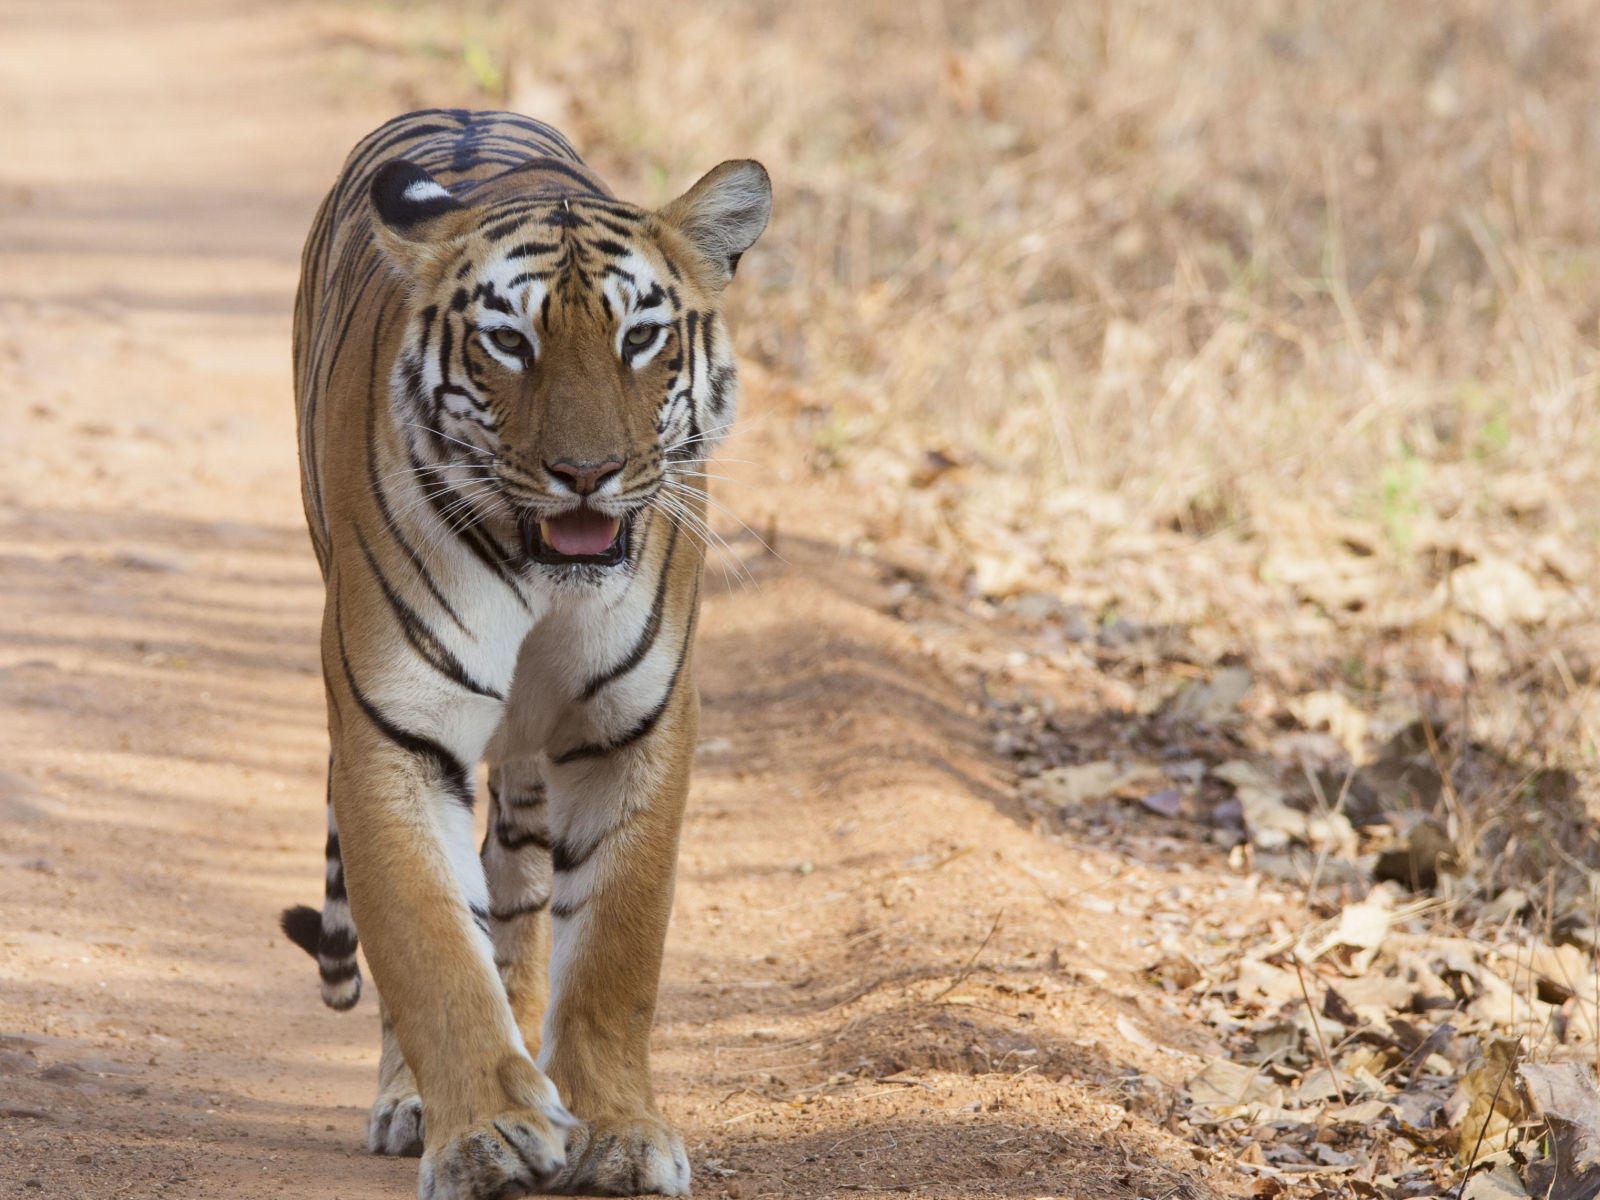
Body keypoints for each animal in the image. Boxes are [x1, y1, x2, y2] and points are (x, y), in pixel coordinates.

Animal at [278, 108, 771, 1196]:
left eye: (641, 338)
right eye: (510, 341)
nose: (587, 473)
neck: (545, 575)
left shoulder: (635, 726)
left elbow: (615, 950)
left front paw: (618, 1131)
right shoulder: (394, 731)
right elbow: (429, 947)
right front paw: (486, 1135)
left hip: (532, 772)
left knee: (519, 894)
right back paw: (417, 1103)